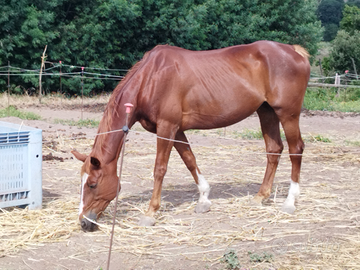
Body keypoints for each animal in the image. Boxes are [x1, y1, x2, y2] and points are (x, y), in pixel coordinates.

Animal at [72, 40, 310, 230]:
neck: (151, 79)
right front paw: (203, 199)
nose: (84, 222)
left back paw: (290, 202)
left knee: (295, 150)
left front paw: (151, 212)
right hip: (266, 111)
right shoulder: (176, 130)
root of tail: (294, 51)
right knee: (274, 150)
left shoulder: (167, 128)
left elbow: (160, 169)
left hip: (288, 114)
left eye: (92, 184)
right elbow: (189, 160)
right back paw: (261, 196)